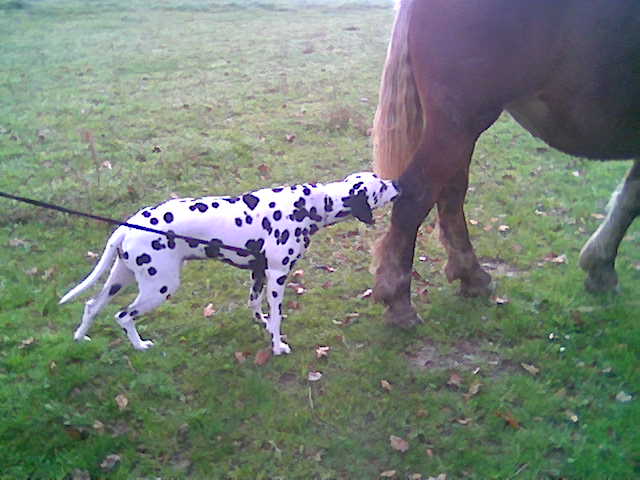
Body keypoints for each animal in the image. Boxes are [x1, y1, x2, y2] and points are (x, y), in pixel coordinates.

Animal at [60, 172, 400, 356]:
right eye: (381, 187)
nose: (397, 183)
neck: (310, 205)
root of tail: (127, 226)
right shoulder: (278, 276)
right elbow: (278, 317)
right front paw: (277, 346)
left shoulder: (258, 273)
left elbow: (254, 305)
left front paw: (263, 324)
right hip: (160, 287)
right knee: (122, 316)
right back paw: (139, 346)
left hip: (121, 279)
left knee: (92, 305)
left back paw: (79, 338)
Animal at [370, 0, 640, 326]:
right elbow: (631, 200)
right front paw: (601, 268)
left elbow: (628, 198)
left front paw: (599, 265)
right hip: (460, 122)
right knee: (417, 195)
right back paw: (399, 300)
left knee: (450, 194)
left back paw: (471, 276)